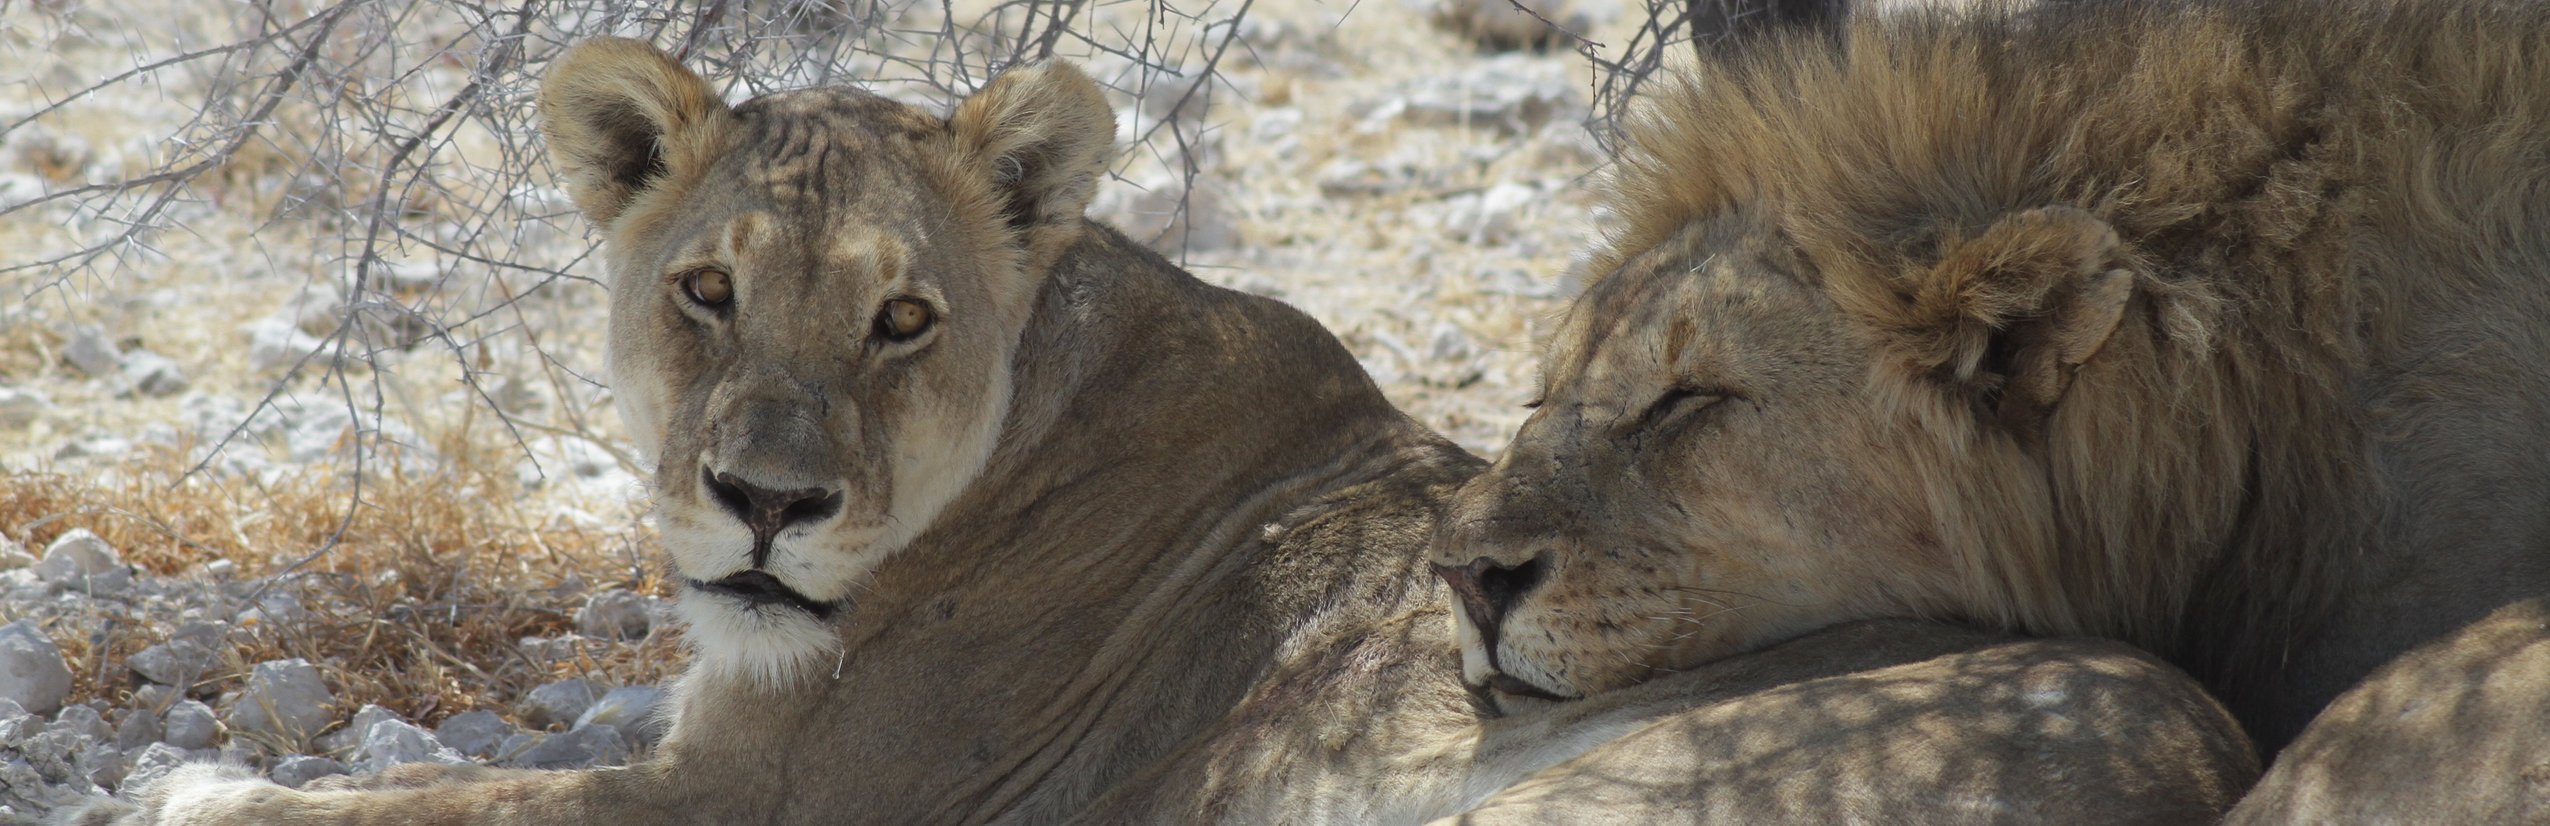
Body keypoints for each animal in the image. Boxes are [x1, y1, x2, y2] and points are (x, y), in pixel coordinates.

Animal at [59, 35, 2254, 820]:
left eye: (904, 317)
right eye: (705, 295)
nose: (763, 501)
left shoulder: (766, 807)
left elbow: (413, 799)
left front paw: (199, 789)